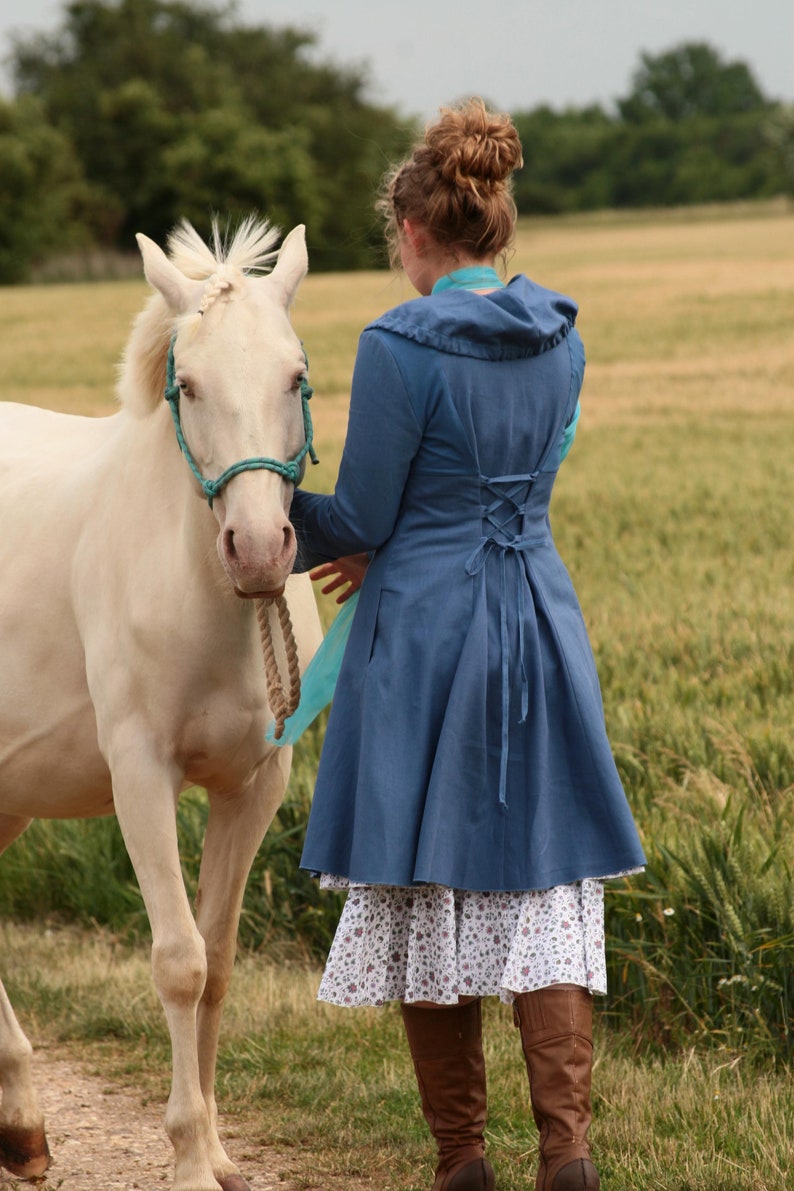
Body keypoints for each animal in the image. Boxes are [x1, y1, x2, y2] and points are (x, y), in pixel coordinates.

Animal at [0, 219, 323, 1186]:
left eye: (296, 375)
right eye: (187, 385)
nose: (257, 548)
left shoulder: (255, 783)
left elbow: (217, 961)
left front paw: (216, 1150)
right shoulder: (140, 773)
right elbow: (178, 961)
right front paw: (184, 1157)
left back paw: (23, 1128)